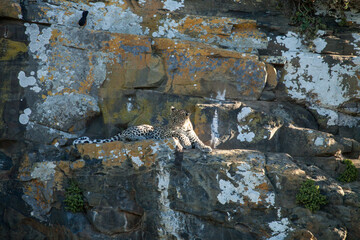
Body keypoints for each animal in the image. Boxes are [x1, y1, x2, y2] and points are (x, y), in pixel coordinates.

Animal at [74, 106, 212, 153]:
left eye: (175, 120)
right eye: (171, 119)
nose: (170, 125)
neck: (185, 127)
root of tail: (125, 129)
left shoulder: (193, 136)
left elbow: (199, 142)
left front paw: (206, 148)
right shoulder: (167, 133)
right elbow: (179, 134)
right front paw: (187, 143)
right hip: (144, 128)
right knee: (125, 137)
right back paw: (139, 137)